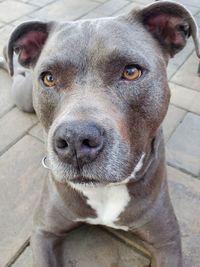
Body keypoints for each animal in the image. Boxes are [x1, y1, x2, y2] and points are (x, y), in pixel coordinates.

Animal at [3, 0, 200, 267]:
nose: (75, 140)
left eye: (131, 71)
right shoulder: (43, 231)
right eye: (49, 78)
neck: (105, 190)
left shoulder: (167, 241)